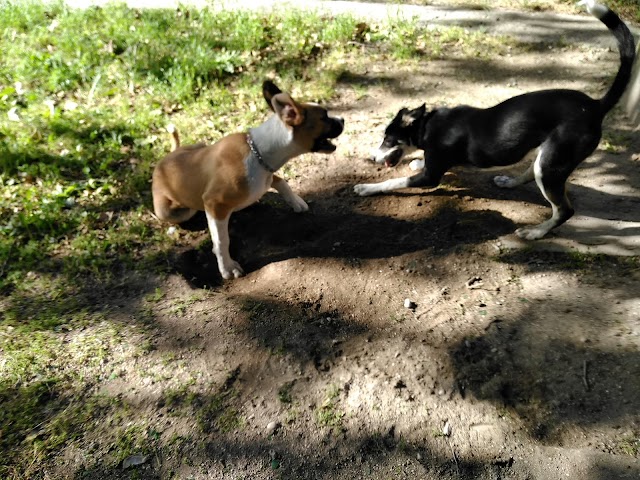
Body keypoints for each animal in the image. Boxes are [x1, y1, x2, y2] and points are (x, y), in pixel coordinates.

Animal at [152, 81, 342, 280]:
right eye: (325, 117)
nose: (342, 120)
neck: (258, 151)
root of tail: (164, 160)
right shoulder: (214, 203)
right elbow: (221, 241)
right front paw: (227, 267)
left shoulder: (267, 174)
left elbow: (281, 181)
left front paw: (296, 201)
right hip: (169, 212)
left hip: (199, 146)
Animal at [356, 0, 636, 240]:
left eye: (387, 140)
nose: (371, 157)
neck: (428, 126)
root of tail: (595, 106)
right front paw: (415, 161)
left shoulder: (431, 178)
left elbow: (393, 181)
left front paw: (366, 188)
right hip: (547, 156)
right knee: (531, 171)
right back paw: (510, 181)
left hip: (552, 164)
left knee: (564, 210)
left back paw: (535, 232)